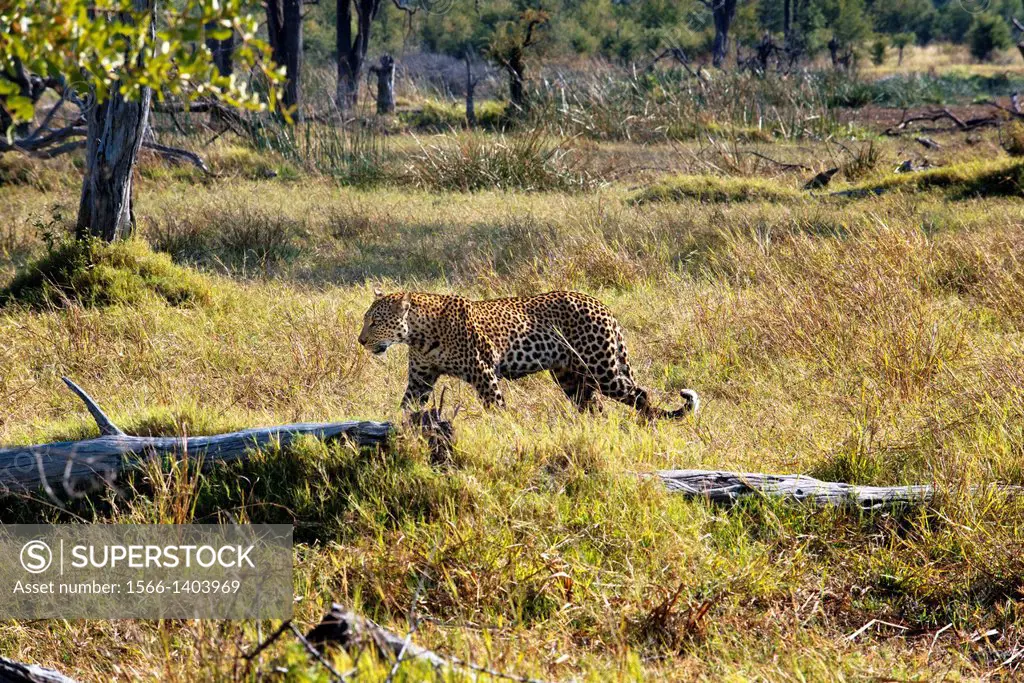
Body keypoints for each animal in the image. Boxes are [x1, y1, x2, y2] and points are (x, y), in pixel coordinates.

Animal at [356, 286, 700, 419]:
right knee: (594, 406)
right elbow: (405, 405)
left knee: (640, 394)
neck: (419, 335)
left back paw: (646, 424)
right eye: (365, 319)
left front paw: (501, 430)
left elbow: (495, 405)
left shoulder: (483, 372)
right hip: (571, 376)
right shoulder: (420, 378)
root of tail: (602, 305)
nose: (360, 341)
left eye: (375, 321)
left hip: (603, 368)